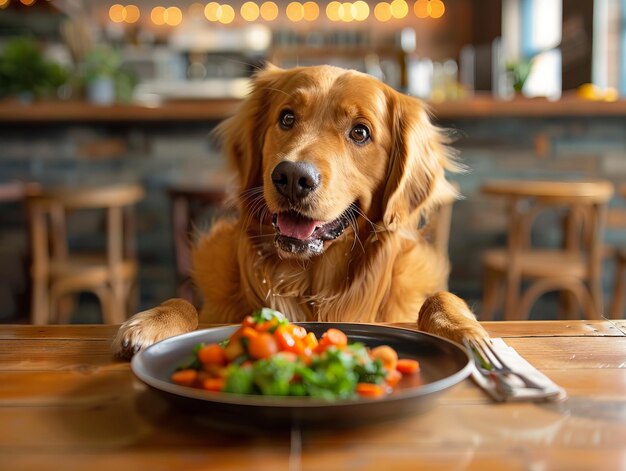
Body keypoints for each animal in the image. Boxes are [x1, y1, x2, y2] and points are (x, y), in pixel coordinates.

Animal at [112, 64, 486, 360]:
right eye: (287, 117)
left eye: (360, 132)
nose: (292, 177)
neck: (306, 282)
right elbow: (184, 302)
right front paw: (153, 322)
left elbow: (440, 297)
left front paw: (467, 332)